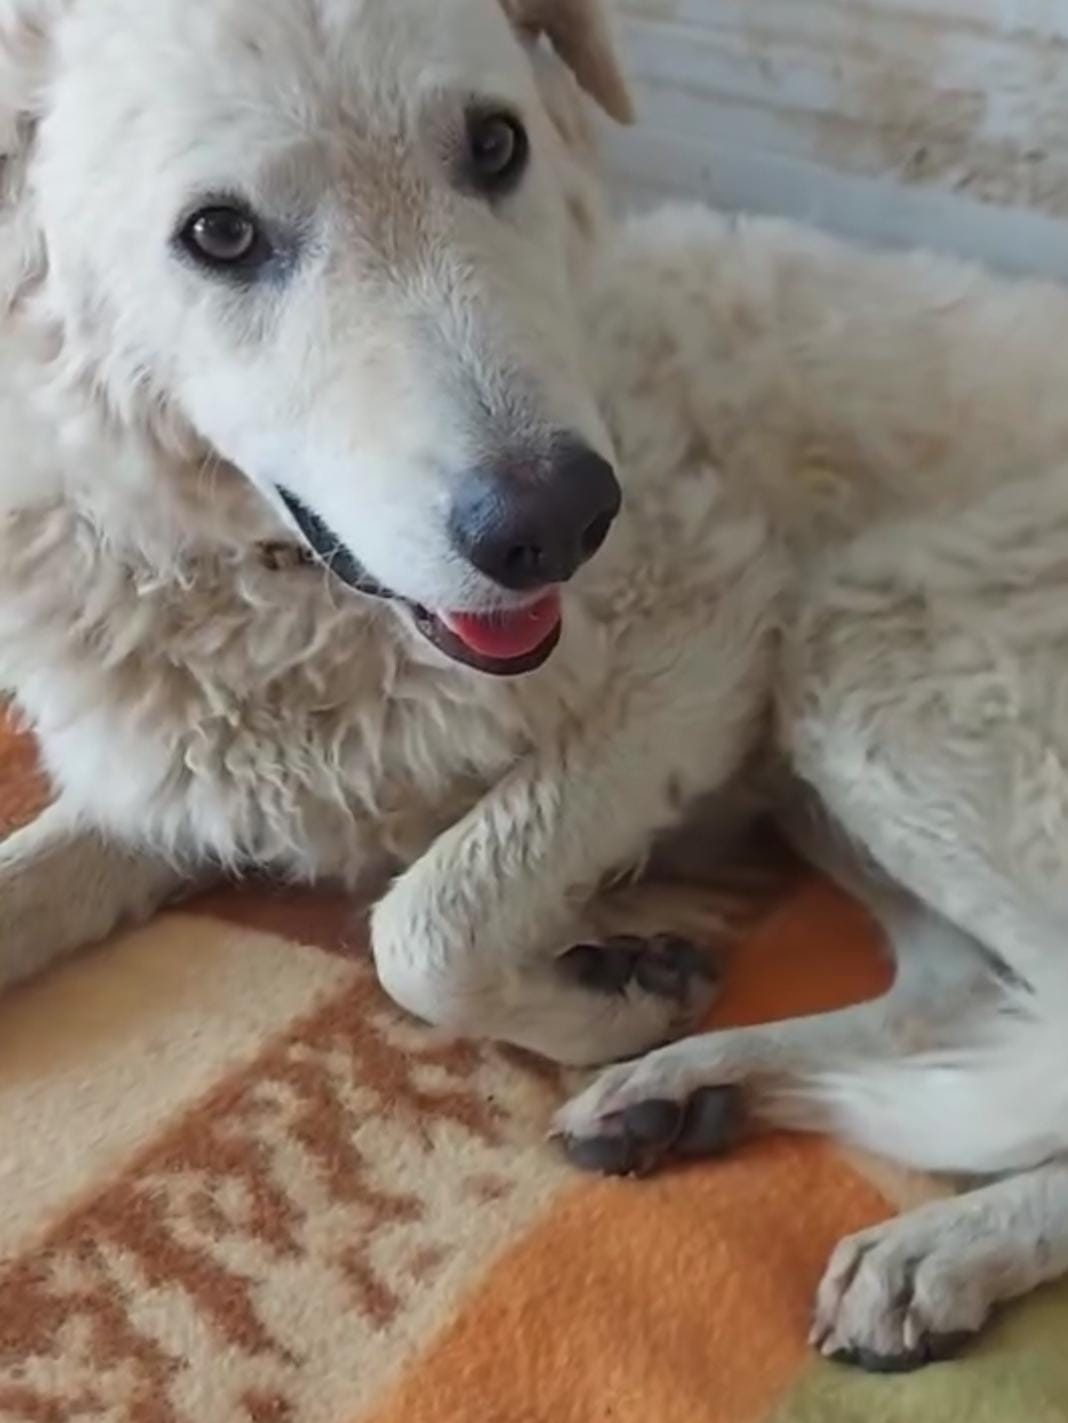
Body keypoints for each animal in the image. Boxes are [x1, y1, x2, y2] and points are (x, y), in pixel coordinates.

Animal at [6, 0, 1068, 1366]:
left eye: (495, 146)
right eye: (222, 234)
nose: (562, 523)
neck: (295, 600)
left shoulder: (706, 653)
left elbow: (423, 928)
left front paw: (597, 995)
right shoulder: (188, 784)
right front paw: (629, 997)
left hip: (860, 661)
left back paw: (944, 1244)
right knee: (954, 997)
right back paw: (697, 1085)